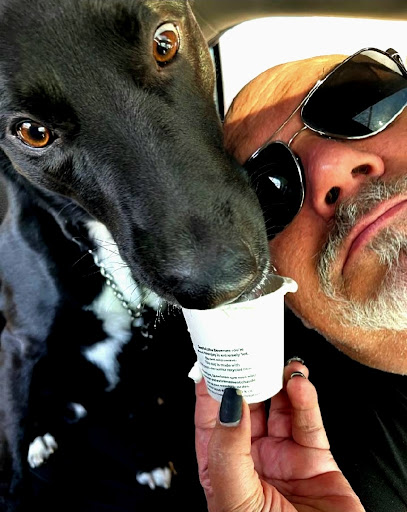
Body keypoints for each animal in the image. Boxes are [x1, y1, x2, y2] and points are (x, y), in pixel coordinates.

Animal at [0, 0, 270, 509]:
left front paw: (148, 458)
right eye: (32, 132)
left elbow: (139, 404)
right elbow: (11, 460)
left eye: (164, 43)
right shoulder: (16, 346)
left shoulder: (143, 343)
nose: (226, 283)